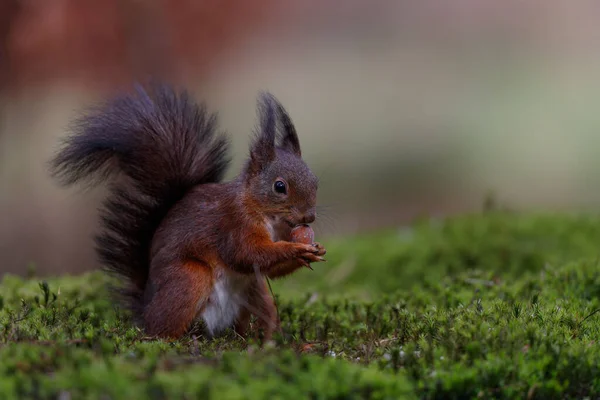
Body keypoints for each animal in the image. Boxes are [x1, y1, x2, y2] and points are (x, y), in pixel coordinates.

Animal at [49, 83, 326, 340]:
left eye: (315, 181)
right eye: (280, 186)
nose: (309, 217)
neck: (269, 217)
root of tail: (145, 306)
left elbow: (269, 269)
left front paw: (314, 250)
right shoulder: (233, 225)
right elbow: (247, 254)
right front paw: (296, 249)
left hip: (254, 292)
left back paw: (263, 339)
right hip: (189, 279)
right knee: (161, 327)